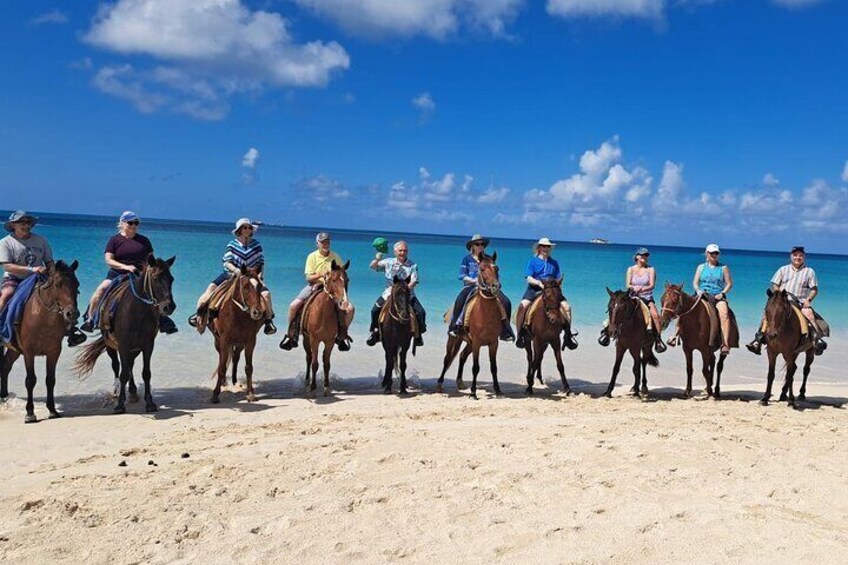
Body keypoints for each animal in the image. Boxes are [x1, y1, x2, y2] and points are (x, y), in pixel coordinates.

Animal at [0, 260, 81, 424]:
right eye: (57, 284)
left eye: (77, 284)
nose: (72, 314)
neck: (43, 317)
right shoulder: (29, 352)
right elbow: (30, 380)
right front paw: (30, 413)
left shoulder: (54, 352)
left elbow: (50, 380)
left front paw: (52, 410)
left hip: (14, 350)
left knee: (5, 367)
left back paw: (4, 397)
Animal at [75, 254, 176, 410]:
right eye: (155, 278)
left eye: (171, 279)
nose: (169, 307)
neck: (137, 311)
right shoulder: (123, 345)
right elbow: (122, 373)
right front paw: (120, 404)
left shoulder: (147, 345)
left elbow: (146, 373)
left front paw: (150, 402)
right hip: (111, 345)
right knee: (117, 365)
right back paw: (117, 391)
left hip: (134, 349)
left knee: (130, 366)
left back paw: (133, 392)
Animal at [207, 268, 264, 404]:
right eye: (245, 286)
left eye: (260, 286)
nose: (257, 312)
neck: (237, 315)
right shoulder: (224, 341)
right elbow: (222, 367)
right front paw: (215, 394)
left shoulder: (250, 342)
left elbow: (249, 367)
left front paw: (250, 394)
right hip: (218, 342)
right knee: (222, 359)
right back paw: (224, 382)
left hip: (239, 344)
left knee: (235, 357)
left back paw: (234, 380)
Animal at [300, 258, 350, 394]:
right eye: (333, 280)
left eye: (347, 280)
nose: (345, 303)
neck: (323, 313)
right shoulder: (314, 340)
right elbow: (314, 363)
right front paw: (313, 386)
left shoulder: (329, 341)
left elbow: (326, 363)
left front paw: (326, 386)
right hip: (306, 339)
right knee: (308, 357)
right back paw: (307, 381)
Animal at [438, 251, 504, 396]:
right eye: (482, 269)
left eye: (497, 268)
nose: (495, 287)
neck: (485, 314)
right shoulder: (477, 342)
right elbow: (475, 367)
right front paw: (473, 392)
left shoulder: (493, 343)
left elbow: (494, 367)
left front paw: (497, 389)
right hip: (454, 339)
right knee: (447, 358)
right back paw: (439, 384)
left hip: (469, 342)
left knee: (462, 355)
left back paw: (460, 382)